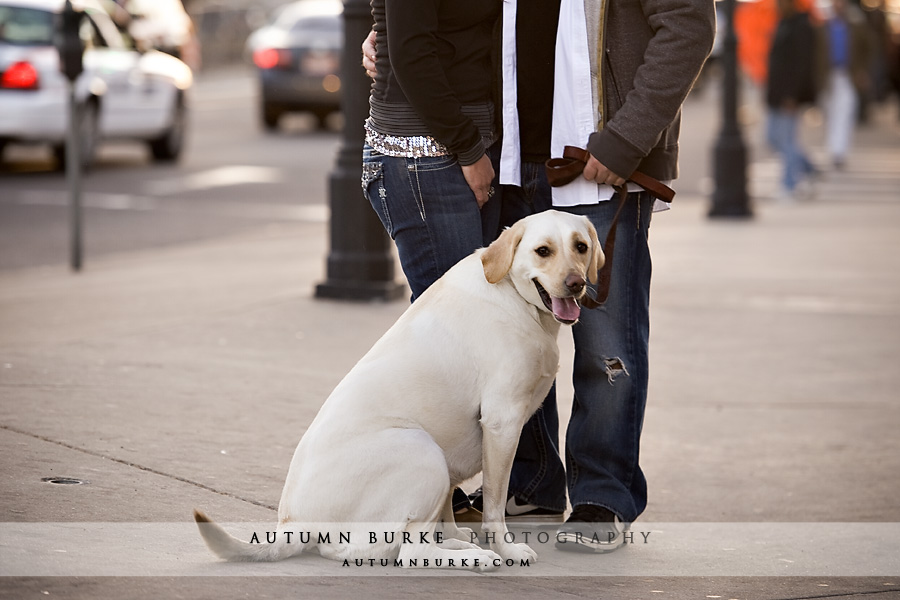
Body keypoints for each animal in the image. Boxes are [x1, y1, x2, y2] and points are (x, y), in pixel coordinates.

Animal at [197, 211, 604, 572]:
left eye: (581, 247)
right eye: (543, 251)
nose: (575, 283)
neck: (514, 297)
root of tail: (292, 523)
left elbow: (447, 512)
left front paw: (455, 535)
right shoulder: (502, 423)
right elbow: (493, 503)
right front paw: (505, 549)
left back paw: (457, 547)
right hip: (421, 447)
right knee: (407, 552)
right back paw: (479, 559)